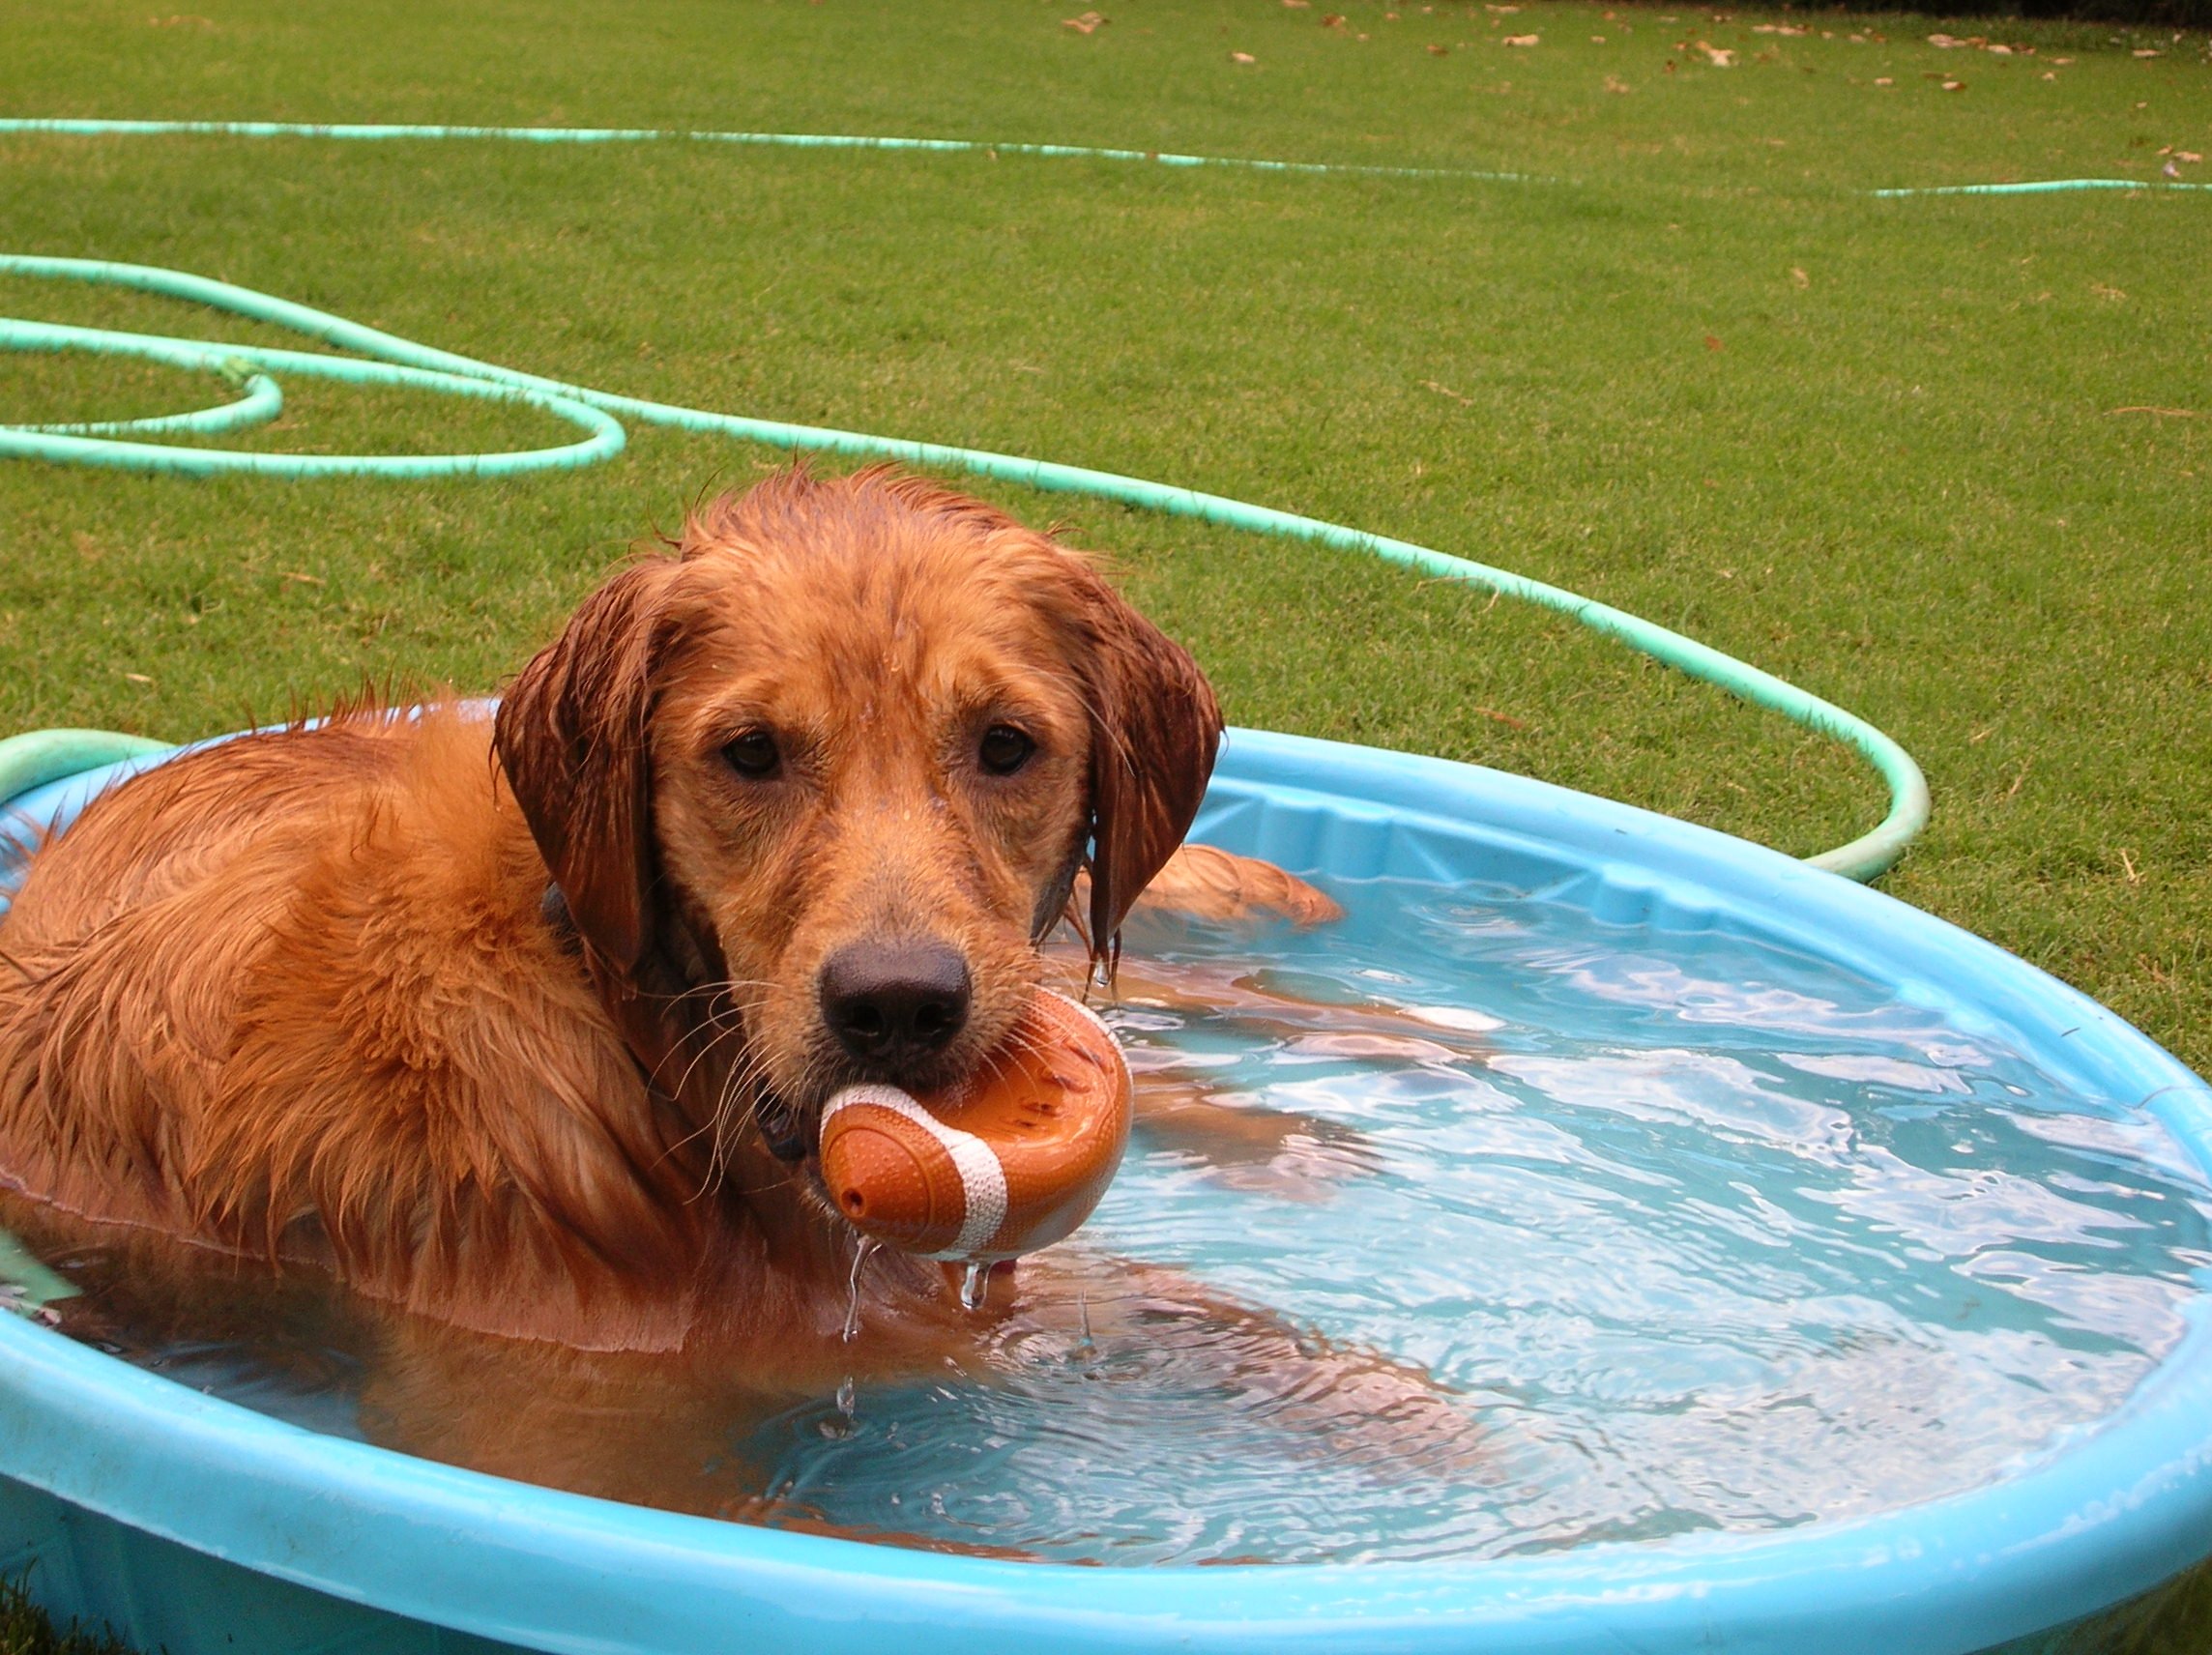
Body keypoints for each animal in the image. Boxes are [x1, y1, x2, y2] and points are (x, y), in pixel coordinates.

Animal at [4, 464, 1486, 1522]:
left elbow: (1222, 1315)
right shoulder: (563, 1452)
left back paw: (1355, 1081)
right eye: (752, 753)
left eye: (1007, 745)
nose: (898, 1005)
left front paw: (1415, 1412)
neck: (650, 1074)